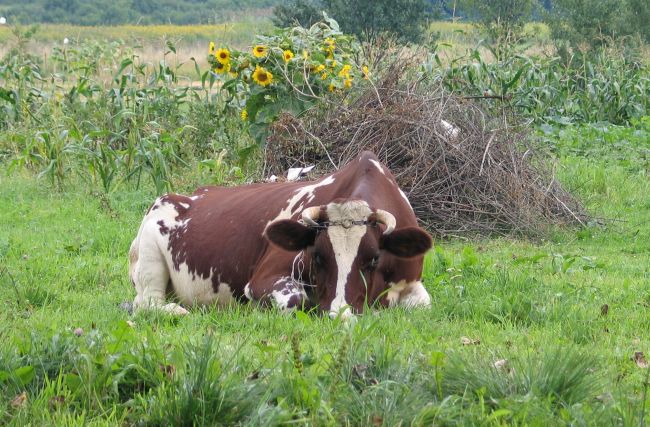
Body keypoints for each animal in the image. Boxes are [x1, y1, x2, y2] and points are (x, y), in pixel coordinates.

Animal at [128, 150, 430, 318]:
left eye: (374, 259)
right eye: (317, 256)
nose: (339, 315)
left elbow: (422, 303)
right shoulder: (264, 278)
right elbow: (297, 301)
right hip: (149, 255)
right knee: (147, 302)